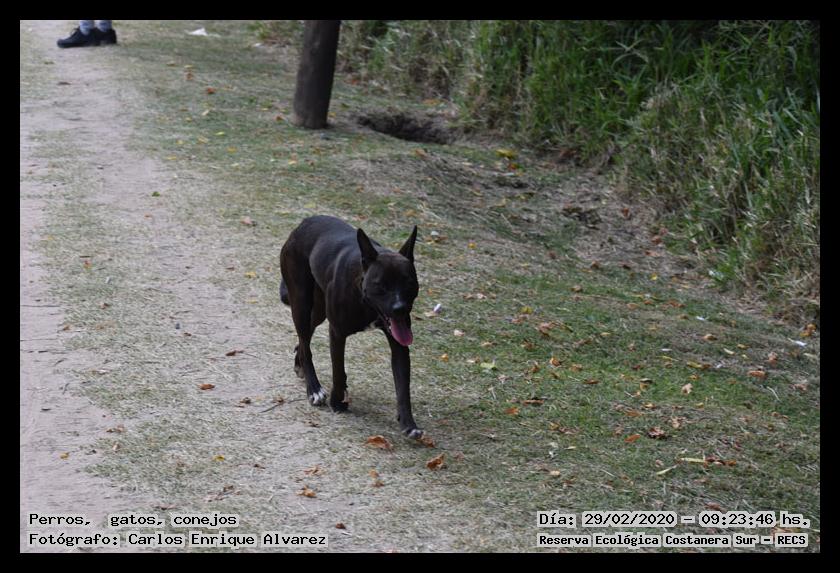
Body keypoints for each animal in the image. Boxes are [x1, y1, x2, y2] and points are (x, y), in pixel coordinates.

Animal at [279, 215, 423, 439]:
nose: (400, 308)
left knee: (305, 339)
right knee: (305, 342)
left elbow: (403, 386)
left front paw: (408, 423)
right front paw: (337, 402)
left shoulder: (399, 343)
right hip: (301, 302)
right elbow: (338, 370)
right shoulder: (337, 333)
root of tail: (302, 224)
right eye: (381, 285)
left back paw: (299, 364)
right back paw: (313, 388)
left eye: (409, 283)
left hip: (318, 310)